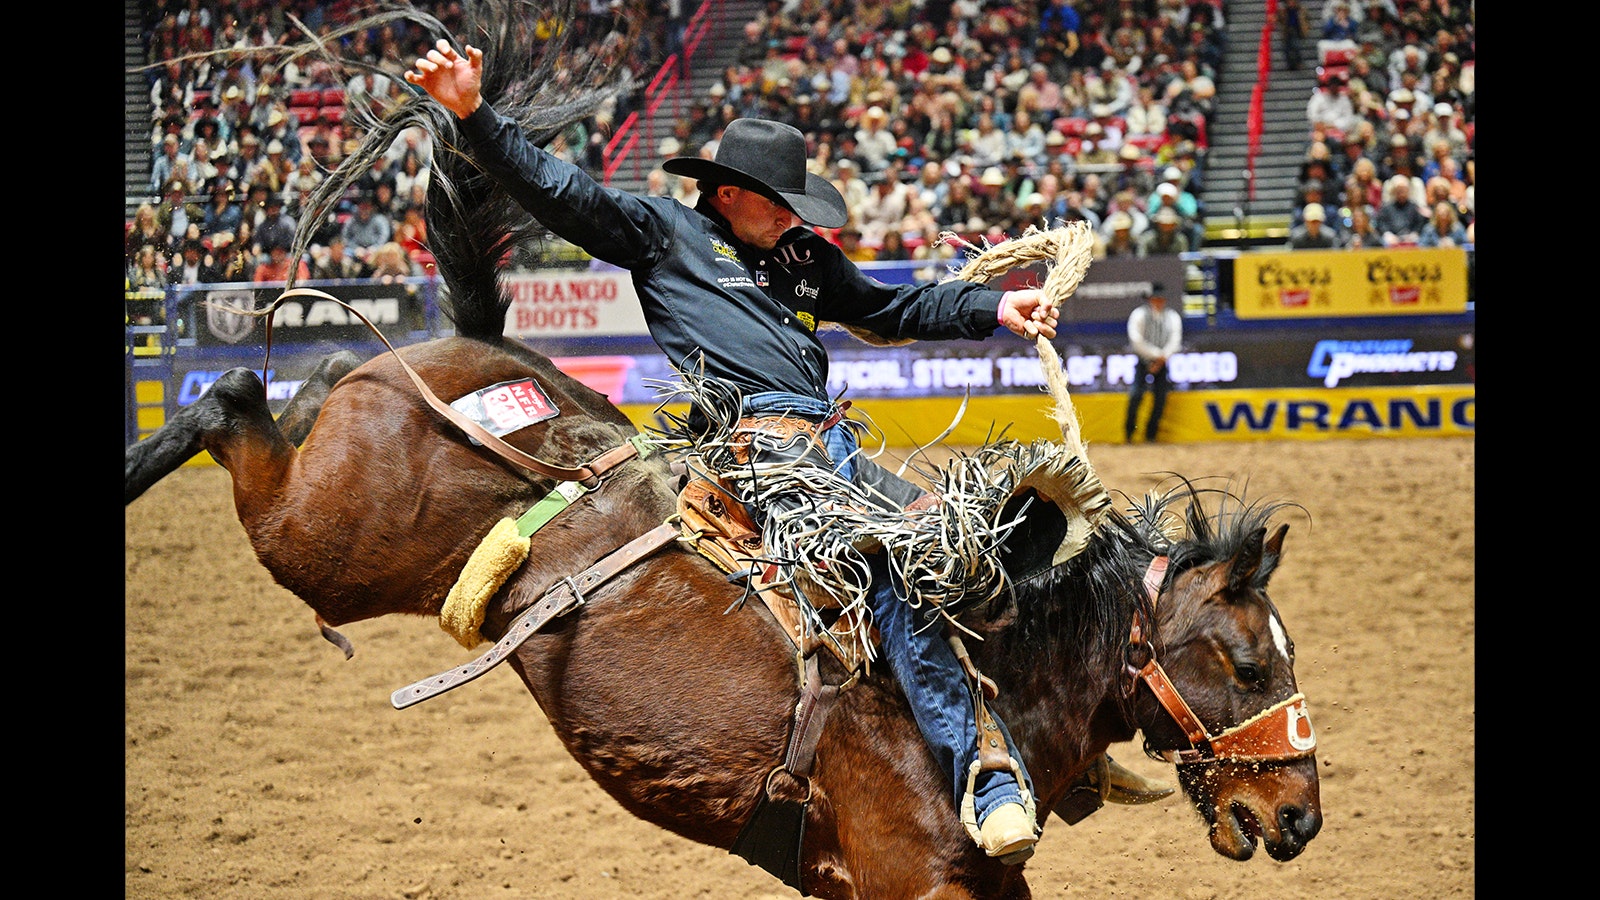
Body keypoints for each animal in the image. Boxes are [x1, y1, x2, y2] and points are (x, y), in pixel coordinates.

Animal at [121, 5, 1324, 890]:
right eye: (1248, 664)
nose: (1301, 816)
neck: (1010, 670)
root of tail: (477, 341)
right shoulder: (917, 879)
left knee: (297, 380)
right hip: (327, 539)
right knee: (231, 397)